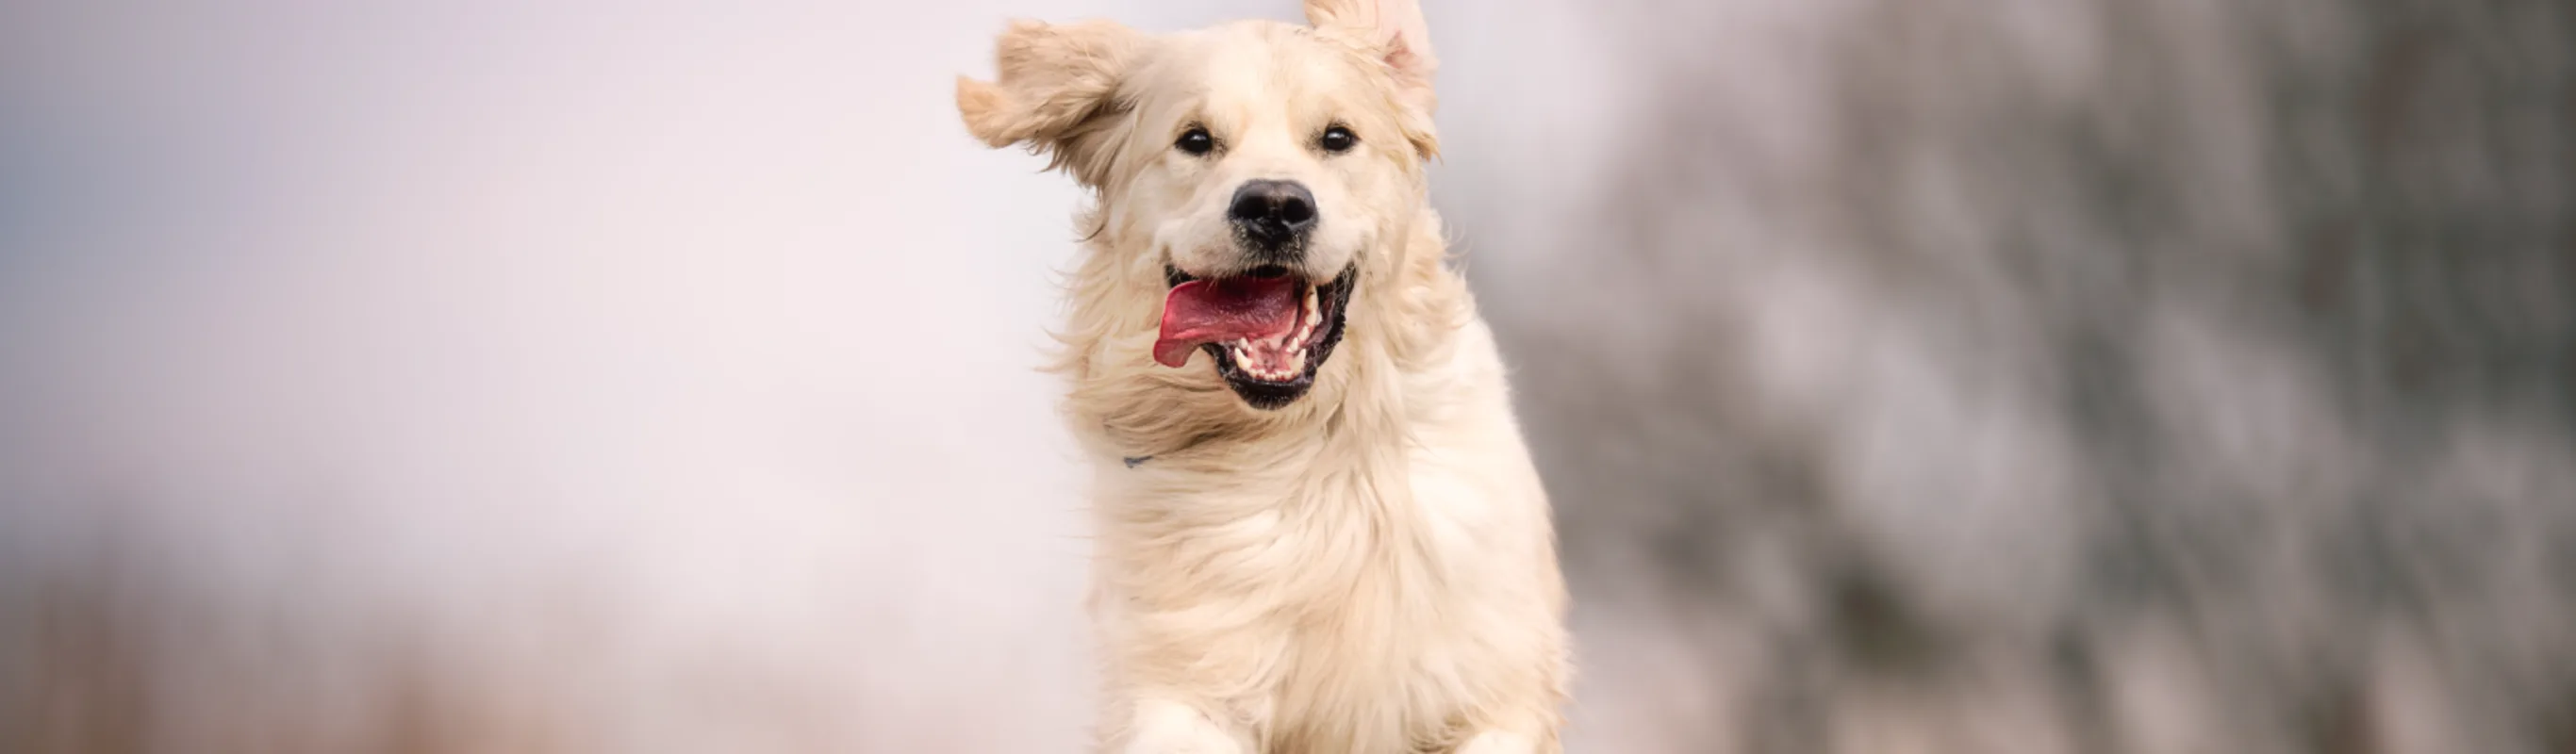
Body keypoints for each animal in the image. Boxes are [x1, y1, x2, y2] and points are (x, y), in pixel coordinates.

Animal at [963, 3, 1566, 746]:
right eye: (1195, 140)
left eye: (1337, 137)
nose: (1275, 207)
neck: (1302, 451)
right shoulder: (1181, 683)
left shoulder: (1498, 684)